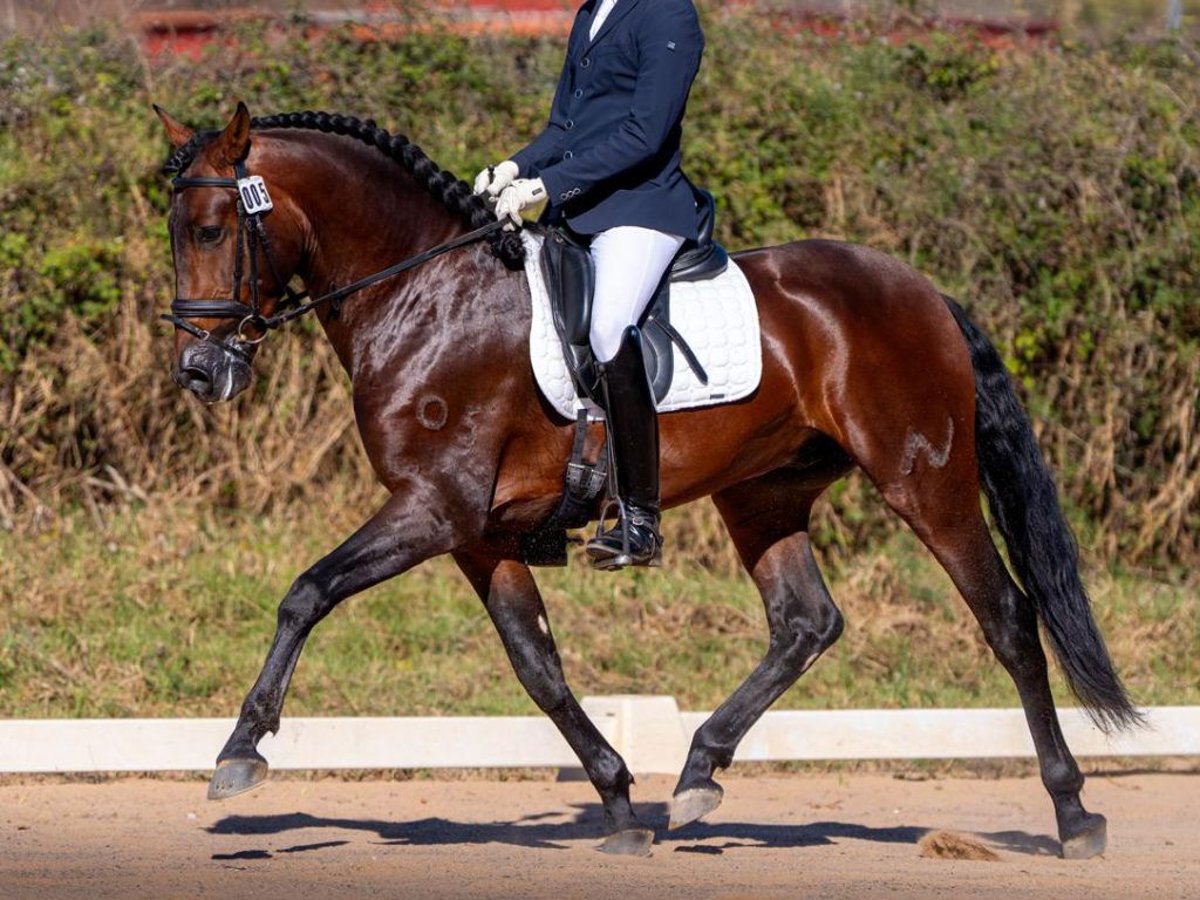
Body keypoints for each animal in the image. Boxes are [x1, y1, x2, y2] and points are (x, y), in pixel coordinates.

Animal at [154, 103, 1137, 859]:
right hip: (764, 492)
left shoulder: (434, 509)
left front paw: (239, 751)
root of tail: (922, 292)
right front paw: (621, 801)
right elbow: (538, 666)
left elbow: (307, 592)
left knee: (1008, 620)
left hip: (923, 479)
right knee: (806, 623)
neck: (424, 294)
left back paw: (1074, 812)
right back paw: (698, 773)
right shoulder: (478, 532)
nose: (200, 373)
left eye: (210, 231)